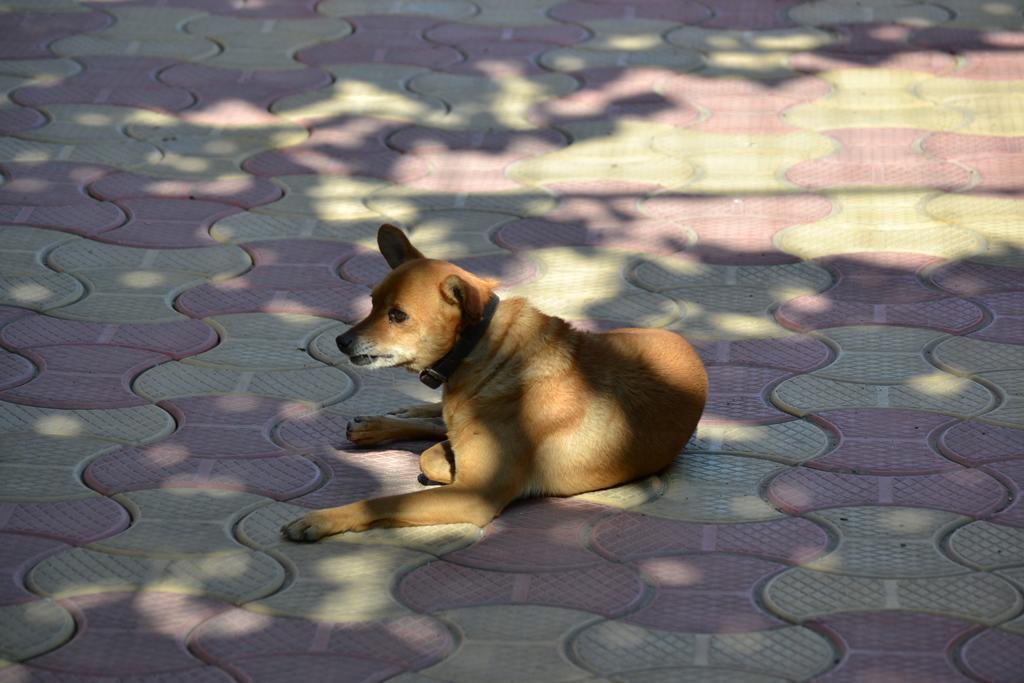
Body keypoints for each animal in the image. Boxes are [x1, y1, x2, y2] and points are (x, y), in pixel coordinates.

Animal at [284, 227, 708, 540]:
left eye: (398, 315)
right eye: (372, 303)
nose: (341, 341)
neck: (484, 351)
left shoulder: (474, 496)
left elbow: (387, 499)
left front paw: (320, 519)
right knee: (437, 419)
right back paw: (385, 421)